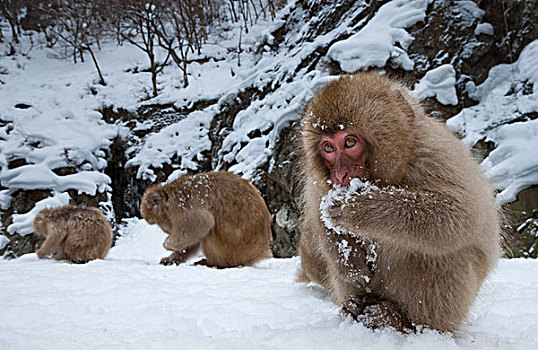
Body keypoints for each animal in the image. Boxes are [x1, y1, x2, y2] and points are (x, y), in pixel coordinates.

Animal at [140, 172, 270, 268]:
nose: (166, 231)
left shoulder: (182, 207)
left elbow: (202, 224)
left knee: (210, 230)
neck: (169, 197)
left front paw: (167, 244)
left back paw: (214, 263)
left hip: (235, 248)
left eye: (155, 221)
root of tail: (261, 251)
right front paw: (171, 259)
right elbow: (193, 239)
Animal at [298, 72, 498, 332]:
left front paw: (358, 208)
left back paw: (399, 319)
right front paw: (350, 265)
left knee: (446, 251)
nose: (340, 175)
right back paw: (353, 307)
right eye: (328, 147)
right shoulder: (319, 185)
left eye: (350, 142)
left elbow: (459, 211)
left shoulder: (434, 153)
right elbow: (320, 218)